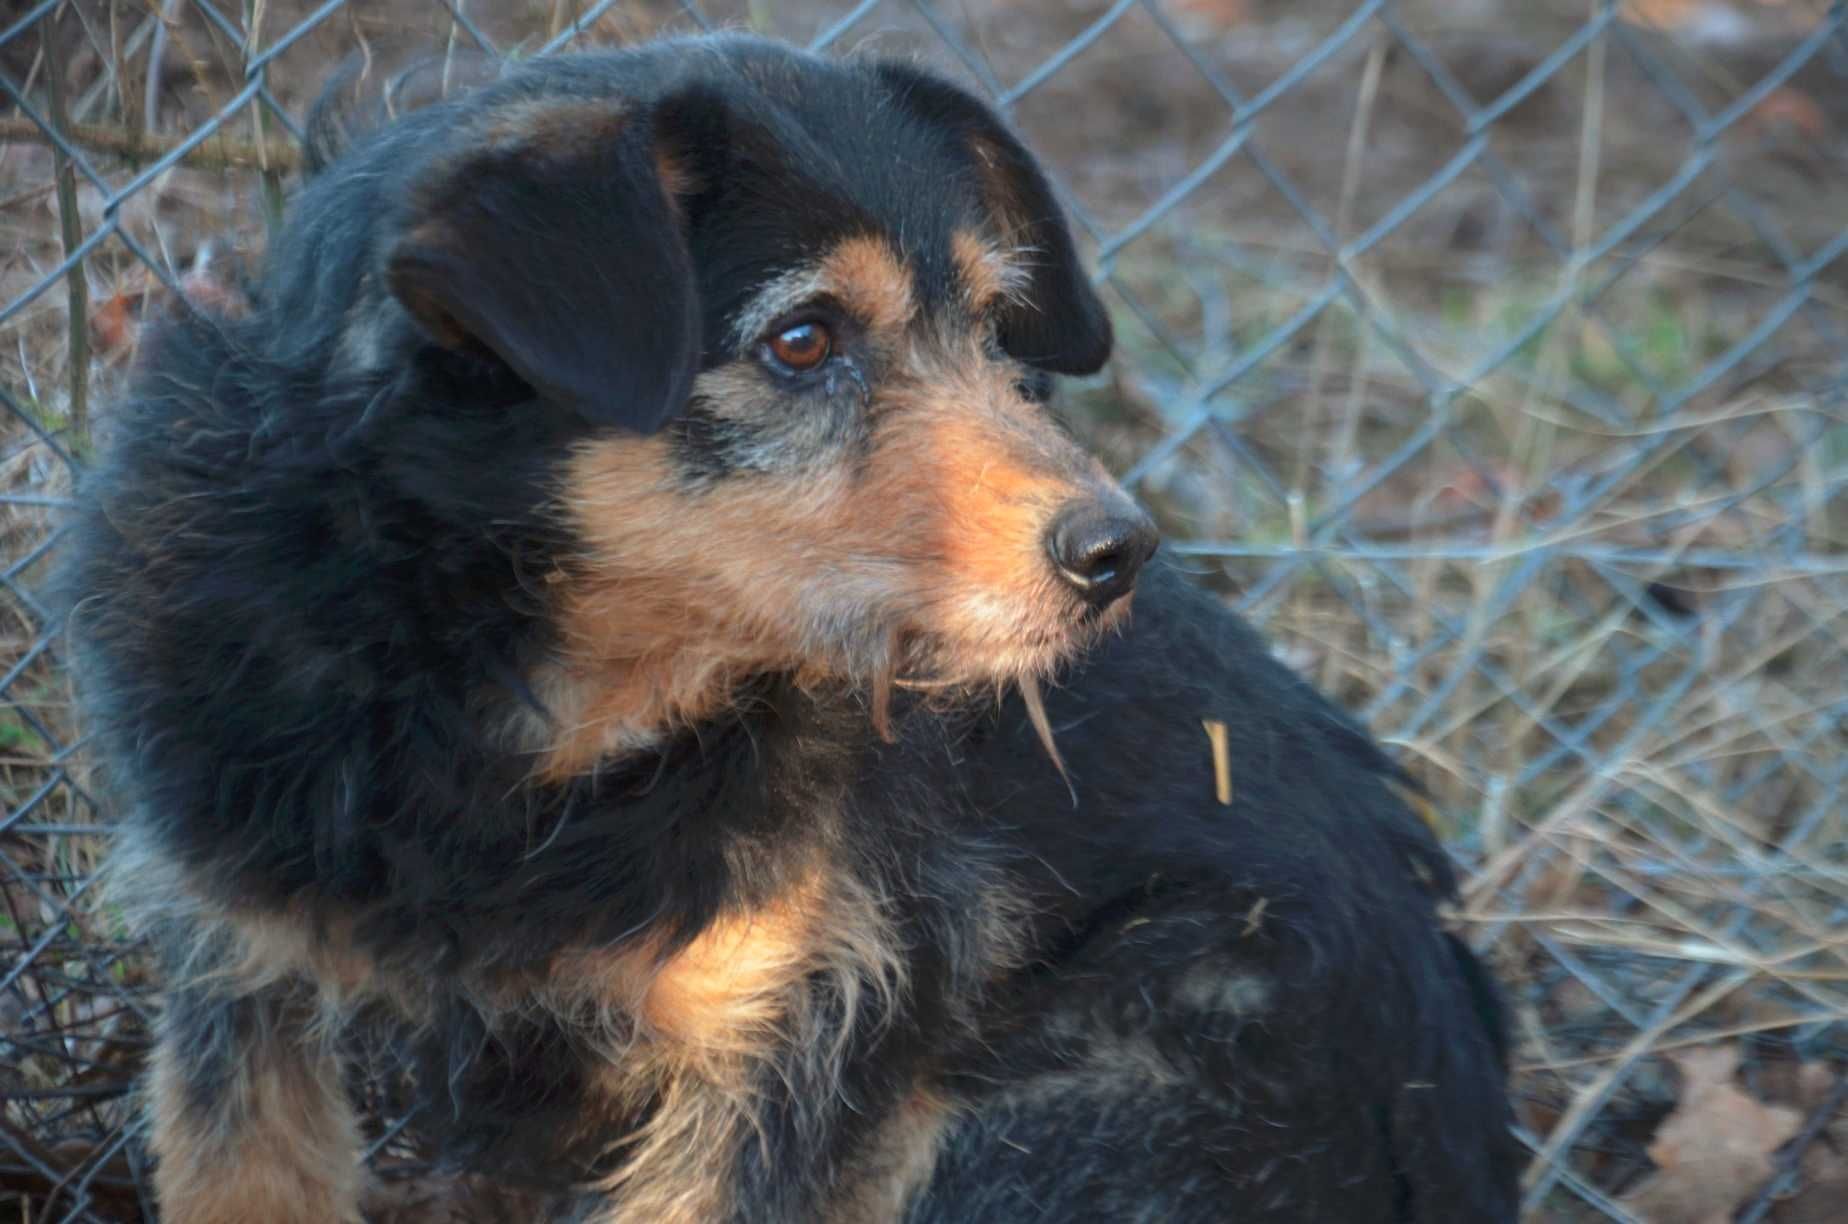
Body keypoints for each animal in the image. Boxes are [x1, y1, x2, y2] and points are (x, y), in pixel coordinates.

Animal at [65, 36, 1522, 1224]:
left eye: (991, 325)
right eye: (804, 340)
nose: (1119, 554)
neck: (531, 725)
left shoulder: (794, 1027)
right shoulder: (239, 968)